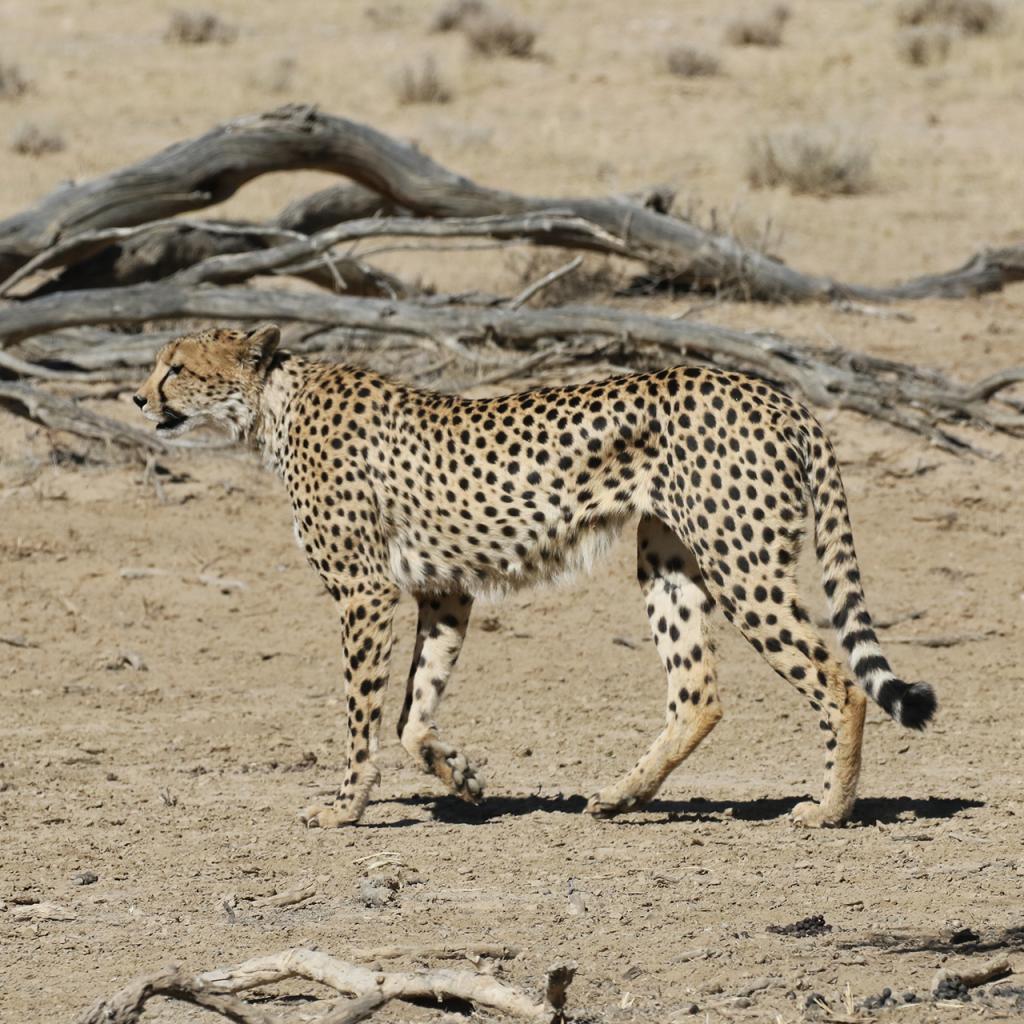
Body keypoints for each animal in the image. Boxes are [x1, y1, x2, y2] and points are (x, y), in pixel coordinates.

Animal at [134, 323, 937, 827]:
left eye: (176, 367)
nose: (139, 398)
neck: (275, 404)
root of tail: (777, 394)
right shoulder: (444, 590)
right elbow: (412, 713)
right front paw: (461, 775)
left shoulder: (365, 592)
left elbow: (363, 714)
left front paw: (344, 806)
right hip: (666, 561)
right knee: (698, 694)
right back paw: (620, 797)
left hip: (741, 562)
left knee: (839, 683)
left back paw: (828, 809)